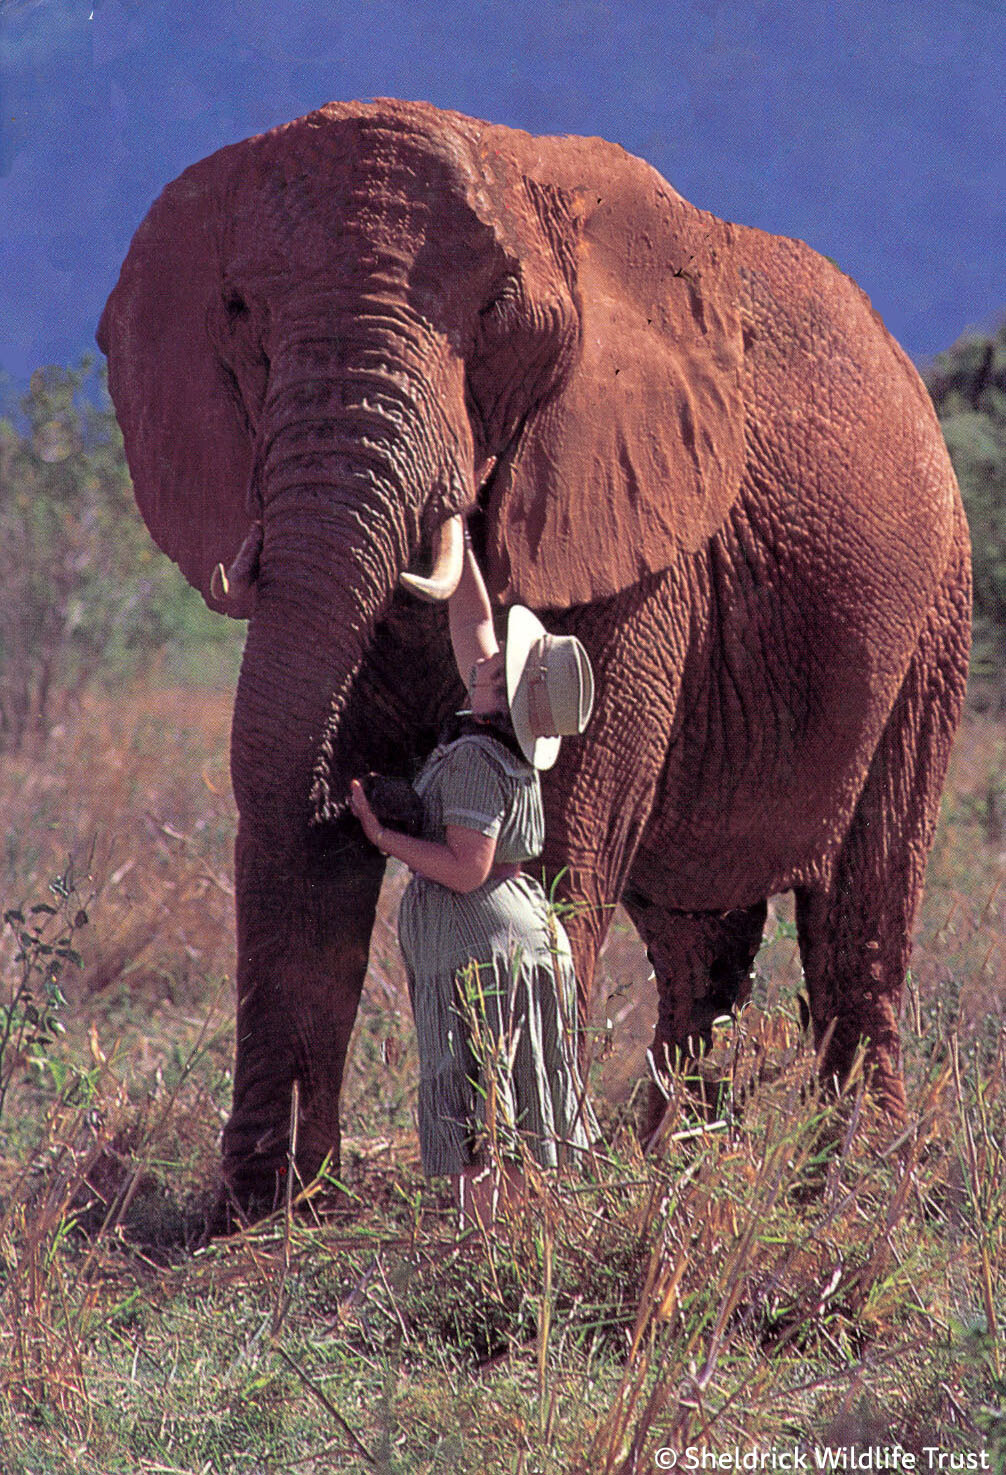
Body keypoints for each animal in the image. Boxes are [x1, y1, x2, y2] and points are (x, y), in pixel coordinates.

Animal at [98, 95, 967, 1221]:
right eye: (240, 310)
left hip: (933, 610)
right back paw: (671, 1159)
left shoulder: (638, 524)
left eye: (500, 312)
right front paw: (268, 1210)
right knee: (698, 942)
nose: (372, 793)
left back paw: (854, 1187)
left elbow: (564, 824)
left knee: (864, 908)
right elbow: (296, 814)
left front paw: (522, 1196)